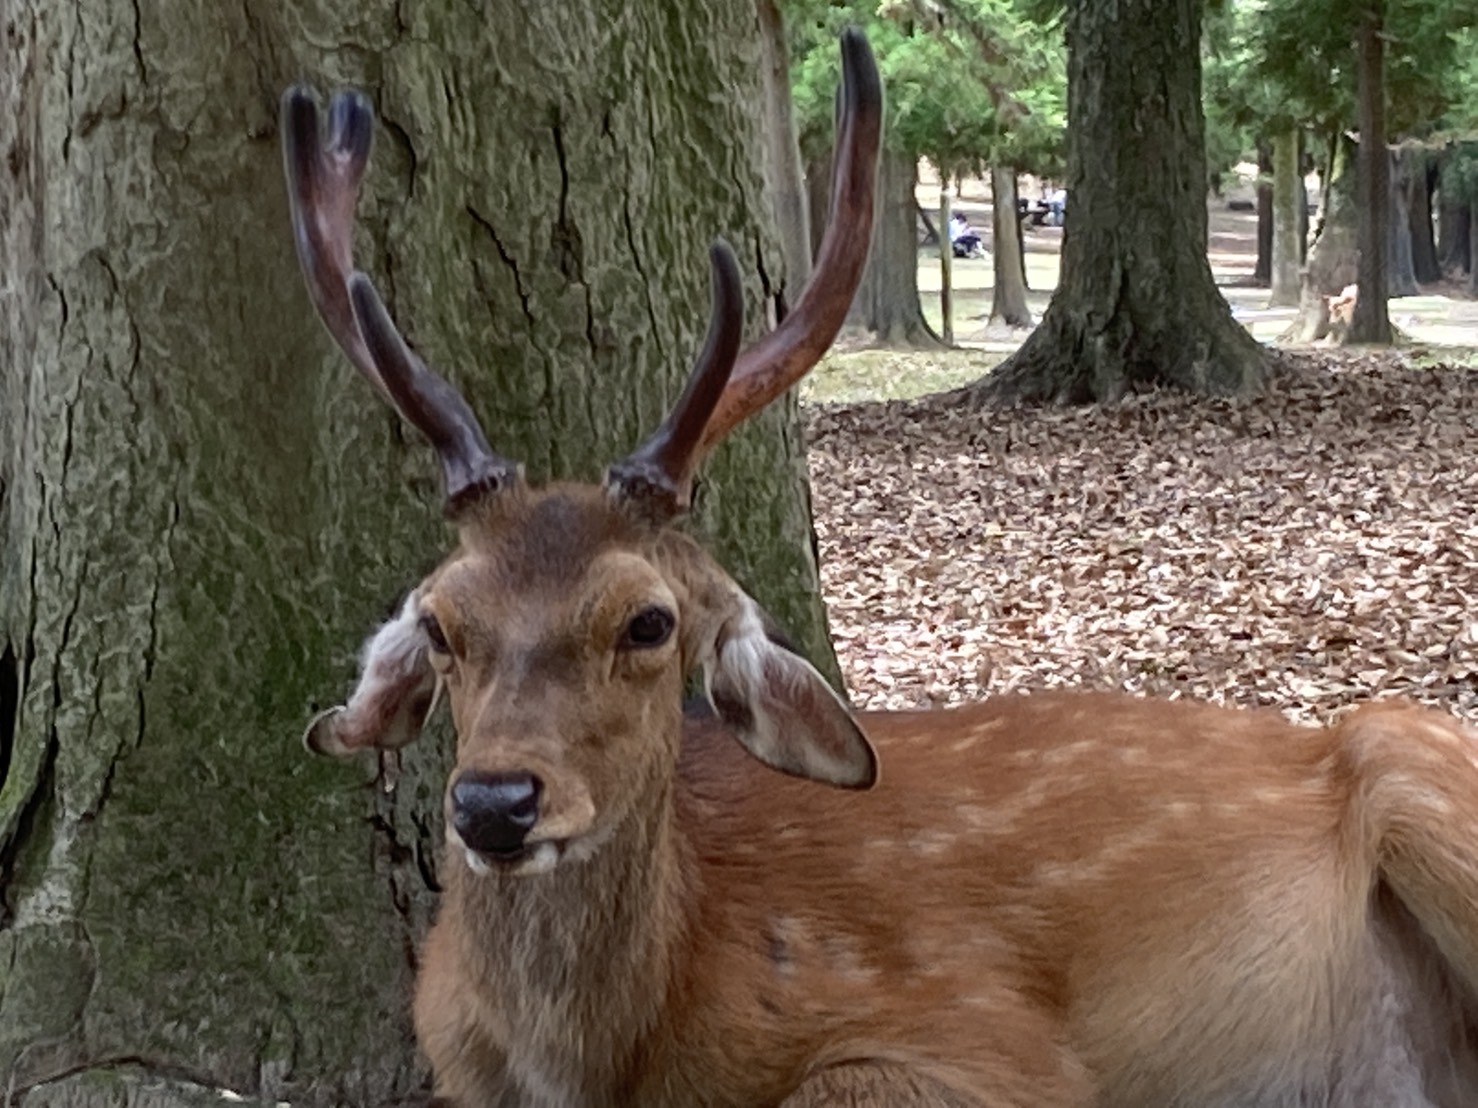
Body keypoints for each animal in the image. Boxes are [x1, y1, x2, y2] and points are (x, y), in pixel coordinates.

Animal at [279, 32, 1478, 1108]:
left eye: (648, 621)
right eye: (441, 623)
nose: (493, 801)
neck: (607, 1060)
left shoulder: (987, 1037)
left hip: (1416, 764)